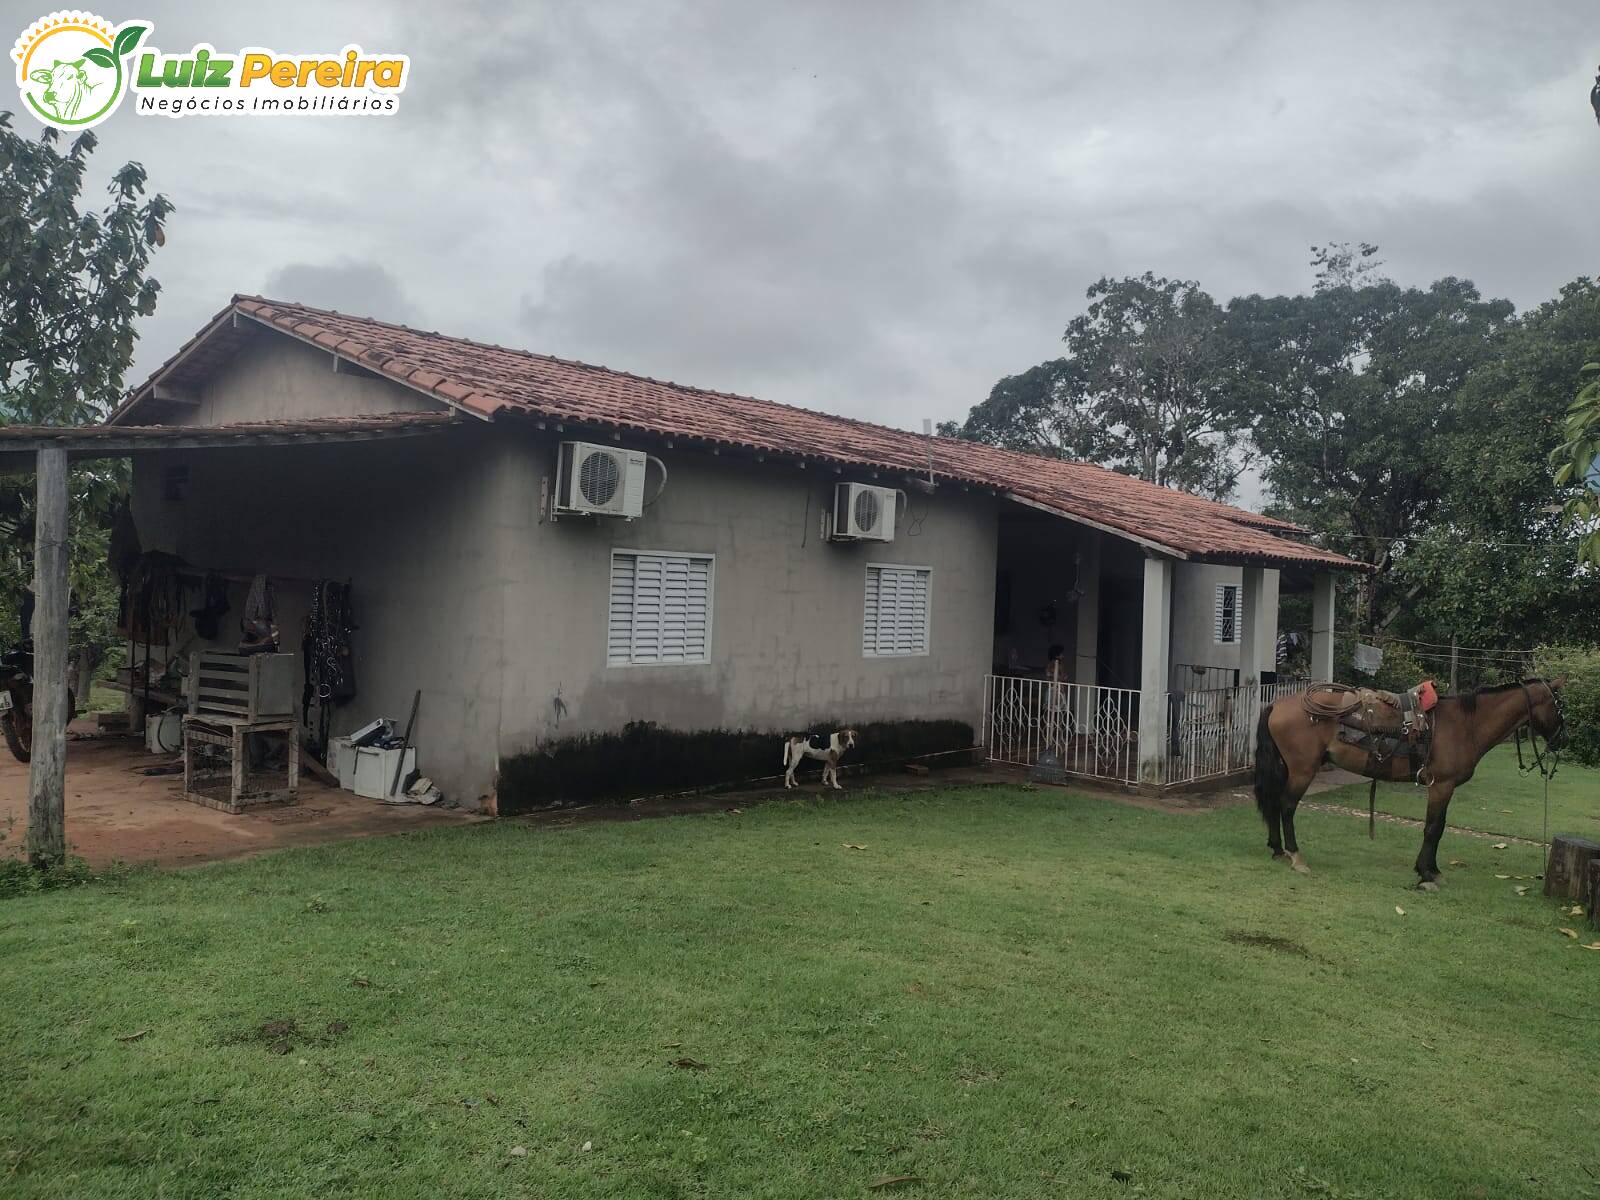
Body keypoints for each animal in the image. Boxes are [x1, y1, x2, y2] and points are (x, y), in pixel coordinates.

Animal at [1248, 681, 1561, 889]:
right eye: (1559, 706)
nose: (1563, 738)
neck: (1465, 724)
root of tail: (1278, 704)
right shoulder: (1441, 785)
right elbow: (1433, 828)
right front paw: (1425, 874)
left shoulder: (1444, 787)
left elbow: (1439, 826)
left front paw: (1432, 870)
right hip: (1302, 770)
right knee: (1287, 806)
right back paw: (1296, 857)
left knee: (1275, 803)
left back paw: (1277, 849)